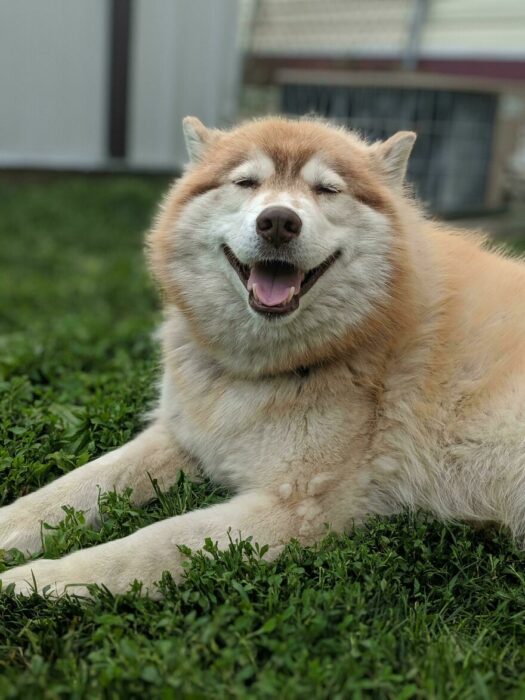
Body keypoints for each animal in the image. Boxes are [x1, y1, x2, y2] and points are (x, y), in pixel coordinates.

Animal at [1, 116, 524, 596]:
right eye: (246, 182)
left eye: (326, 189)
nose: (277, 222)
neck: (265, 368)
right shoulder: (183, 436)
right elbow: (69, 488)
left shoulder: (291, 509)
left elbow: (146, 547)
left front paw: (35, 580)